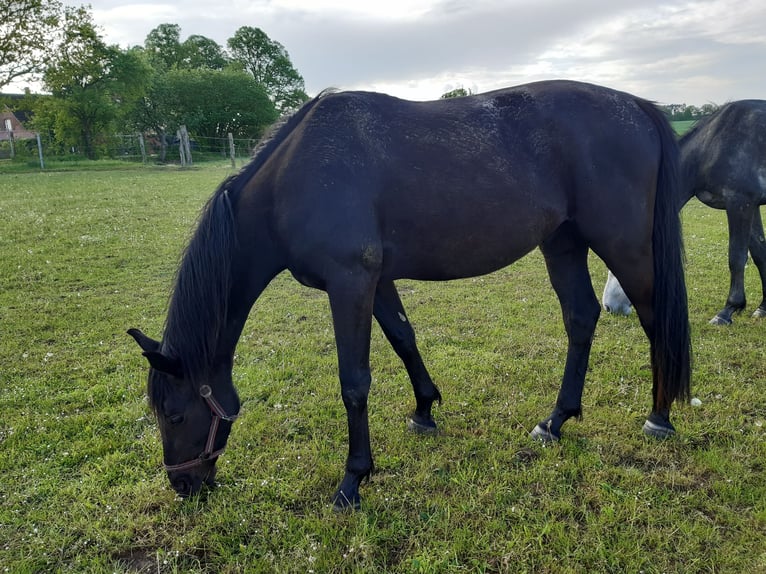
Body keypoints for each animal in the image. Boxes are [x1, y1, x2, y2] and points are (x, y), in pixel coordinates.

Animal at [128, 80, 691, 510]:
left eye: (174, 414)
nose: (183, 485)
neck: (296, 178)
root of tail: (636, 106)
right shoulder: (376, 282)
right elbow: (404, 339)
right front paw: (425, 409)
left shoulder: (350, 282)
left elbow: (354, 382)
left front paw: (353, 480)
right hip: (564, 242)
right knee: (580, 318)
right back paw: (554, 421)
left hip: (623, 245)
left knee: (653, 318)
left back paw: (659, 416)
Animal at [602, 100, 766, 325]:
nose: (609, 307)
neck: (713, 145)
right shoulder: (751, 206)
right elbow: (760, 253)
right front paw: (764, 307)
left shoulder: (740, 203)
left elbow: (737, 258)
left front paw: (727, 311)